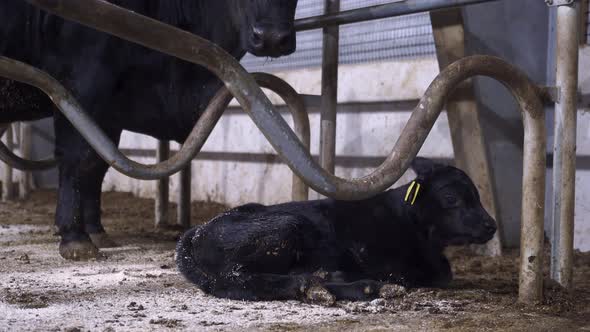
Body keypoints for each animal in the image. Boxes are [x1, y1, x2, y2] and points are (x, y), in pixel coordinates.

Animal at [0, 0, 298, 260]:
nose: (271, 38)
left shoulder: (110, 112)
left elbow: (97, 166)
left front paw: (96, 231)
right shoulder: (79, 86)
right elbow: (78, 160)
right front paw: (75, 237)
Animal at [177, 158, 500, 304]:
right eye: (451, 198)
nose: (491, 225)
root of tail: (195, 233)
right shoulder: (394, 264)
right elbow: (436, 275)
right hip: (284, 227)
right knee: (234, 281)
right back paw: (329, 285)